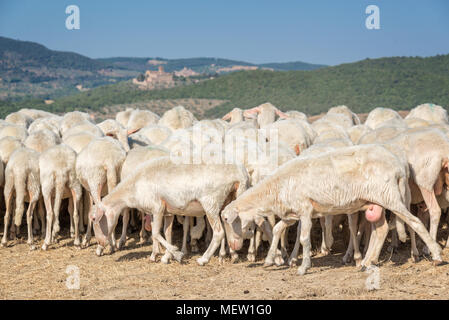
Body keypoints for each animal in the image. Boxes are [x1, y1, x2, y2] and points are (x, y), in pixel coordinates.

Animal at [91, 157, 248, 264]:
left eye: (93, 219)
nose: (100, 242)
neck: (133, 189)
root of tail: (240, 174)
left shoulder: (157, 208)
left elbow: (155, 233)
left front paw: (176, 254)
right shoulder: (167, 212)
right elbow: (166, 233)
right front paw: (162, 256)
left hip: (210, 202)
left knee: (219, 232)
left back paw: (203, 259)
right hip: (226, 203)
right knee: (226, 229)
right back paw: (224, 256)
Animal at [221, 145, 440, 276]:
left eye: (227, 220)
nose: (233, 246)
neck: (276, 187)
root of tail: (399, 165)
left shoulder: (305, 210)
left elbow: (304, 239)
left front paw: (303, 267)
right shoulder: (292, 213)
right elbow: (277, 229)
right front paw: (269, 260)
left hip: (391, 197)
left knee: (415, 222)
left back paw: (436, 255)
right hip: (374, 201)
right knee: (381, 230)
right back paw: (367, 262)